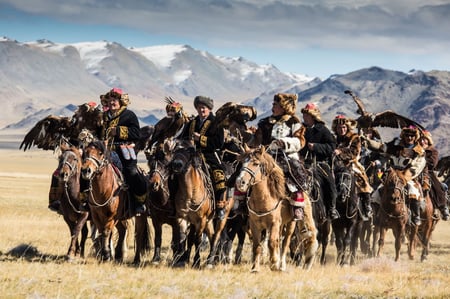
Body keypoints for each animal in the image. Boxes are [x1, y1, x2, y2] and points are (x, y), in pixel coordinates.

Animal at [234, 146, 314, 274]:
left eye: (256, 163)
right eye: (242, 163)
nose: (240, 182)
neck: (264, 199)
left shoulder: (274, 223)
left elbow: (272, 242)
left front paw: (274, 264)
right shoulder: (254, 224)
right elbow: (257, 246)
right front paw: (255, 268)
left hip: (291, 223)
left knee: (285, 243)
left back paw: (281, 266)